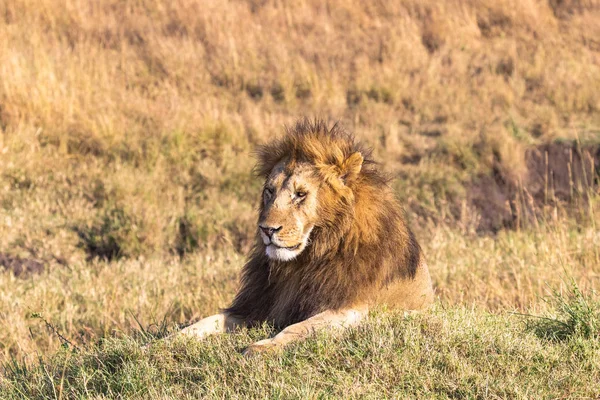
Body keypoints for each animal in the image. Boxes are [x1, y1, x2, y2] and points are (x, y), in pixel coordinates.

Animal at [180, 119, 434, 356]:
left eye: (300, 194)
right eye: (269, 191)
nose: (266, 229)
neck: (305, 262)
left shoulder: (352, 308)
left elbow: (299, 328)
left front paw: (262, 347)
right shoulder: (261, 306)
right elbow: (211, 319)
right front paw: (174, 339)